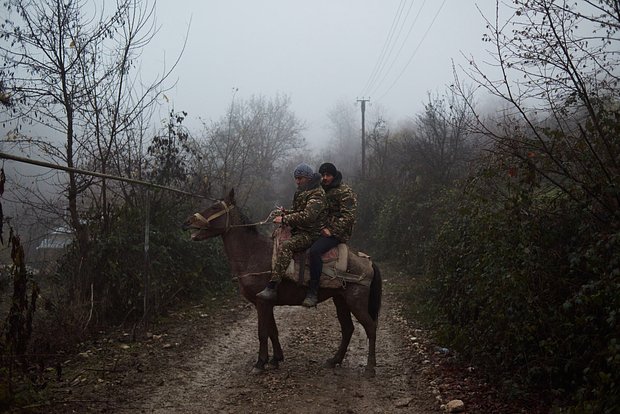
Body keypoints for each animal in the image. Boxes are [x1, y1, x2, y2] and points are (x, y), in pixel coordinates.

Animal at [182, 189, 380, 376]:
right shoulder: (264, 302)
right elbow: (272, 330)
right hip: (341, 300)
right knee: (348, 328)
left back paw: (370, 368)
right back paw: (334, 360)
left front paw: (260, 363)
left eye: (215, 207)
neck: (253, 254)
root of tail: (367, 261)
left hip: (356, 302)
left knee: (370, 327)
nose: (187, 222)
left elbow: (262, 333)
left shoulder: (262, 302)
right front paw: (275, 359)